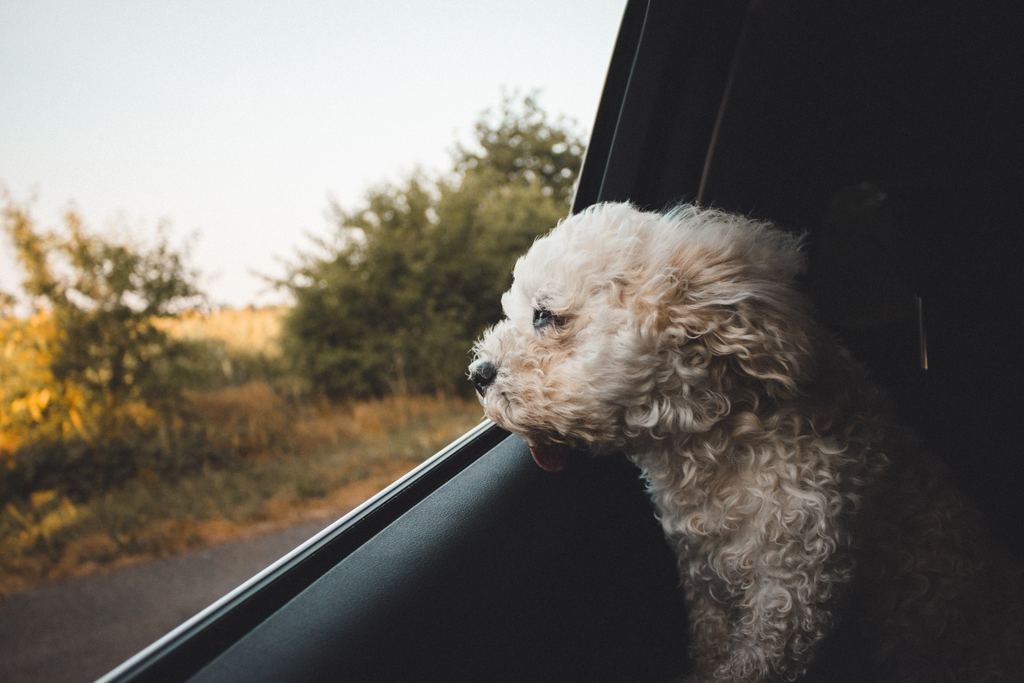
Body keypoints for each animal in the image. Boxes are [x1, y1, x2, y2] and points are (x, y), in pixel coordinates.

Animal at [468, 204, 1019, 683]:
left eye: (545, 315)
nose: (477, 373)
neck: (722, 441)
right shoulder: (703, 582)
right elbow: (710, 645)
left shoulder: (792, 597)